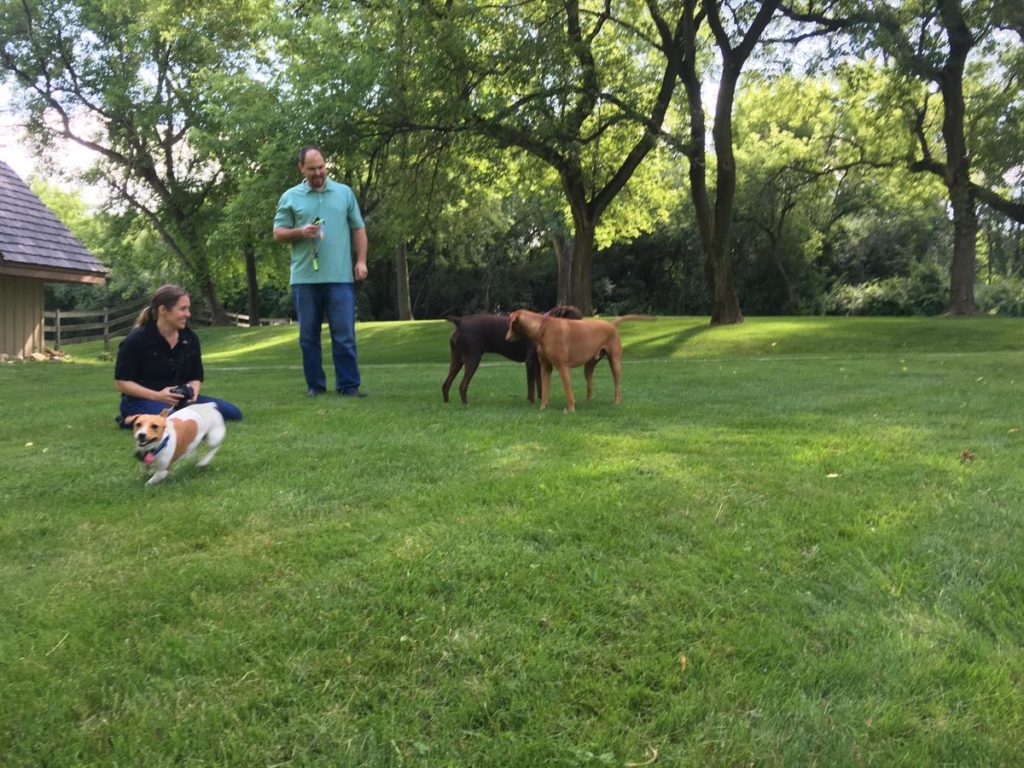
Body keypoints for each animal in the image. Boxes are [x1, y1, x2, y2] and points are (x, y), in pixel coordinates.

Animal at [505, 309, 655, 411]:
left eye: (510, 324)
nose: (506, 338)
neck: (543, 328)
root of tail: (611, 325)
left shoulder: (562, 367)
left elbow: (568, 391)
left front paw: (570, 410)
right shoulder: (545, 367)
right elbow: (545, 390)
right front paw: (543, 408)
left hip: (615, 363)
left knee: (617, 384)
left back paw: (617, 402)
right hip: (589, 366)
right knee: (590, 384)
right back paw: (588, 402)